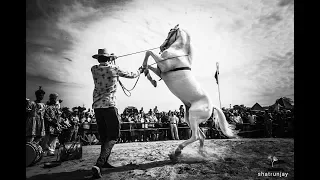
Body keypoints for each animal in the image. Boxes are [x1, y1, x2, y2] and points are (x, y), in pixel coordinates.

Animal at [141, 24, 239, 160]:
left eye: (170, 32)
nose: (161, 47)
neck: (178, 52)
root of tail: (212, 107)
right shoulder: (161, 71)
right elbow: (150, 65)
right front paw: (148, 75)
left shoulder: (163, 64)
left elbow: (149, 52)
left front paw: (145, 70)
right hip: (190, 119)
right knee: (202, 136)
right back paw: (199, 154)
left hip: (193, 117)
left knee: (196, 136)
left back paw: (178, 151)